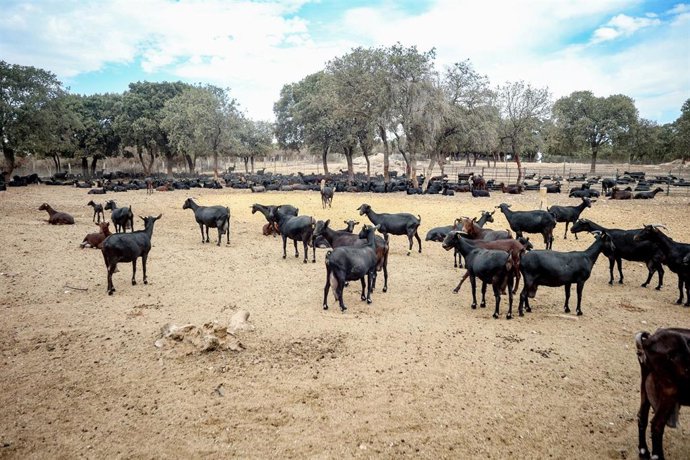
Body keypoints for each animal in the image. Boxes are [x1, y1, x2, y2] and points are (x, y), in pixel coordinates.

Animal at [635, 328, 690, 460]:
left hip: (645, 381)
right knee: (656, 425)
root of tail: (648, 342)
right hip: (669, 391)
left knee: (642, 416)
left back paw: (643, 451)